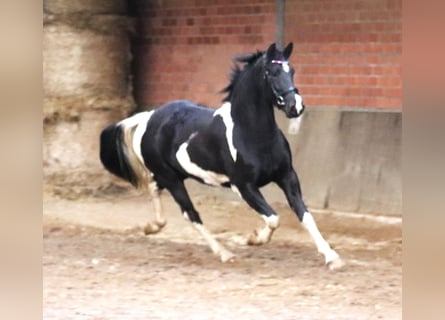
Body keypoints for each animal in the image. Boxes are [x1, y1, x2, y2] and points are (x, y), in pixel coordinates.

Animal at [100, 41, 342, 268]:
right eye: (272, 72)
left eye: (291, 71)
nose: (295, 107)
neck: (253, 134)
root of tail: (149, 117)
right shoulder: (243, 186)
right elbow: (273, 218)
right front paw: (253, 238)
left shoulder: (287, 176)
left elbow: (305, 215)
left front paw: (332, 257)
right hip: (172, 180)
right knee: (191, 213)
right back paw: (224, 253)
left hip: (173, 175)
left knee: (154, 188)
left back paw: (152, 227)